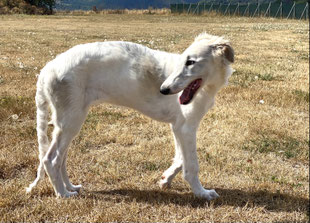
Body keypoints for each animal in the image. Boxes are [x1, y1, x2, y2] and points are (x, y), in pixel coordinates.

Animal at [26, 31, 234, 200]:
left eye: (191, 62)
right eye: (184, 60)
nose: (164, 90)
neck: (207, 87)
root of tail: (47, 69)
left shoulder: (178, 126)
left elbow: (180, 158)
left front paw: (166, 179)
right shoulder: (186, 127)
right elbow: (191, 164)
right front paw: (202, 193)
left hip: (70, 120)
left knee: (61, 158)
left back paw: (70, 187)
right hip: (71, 120)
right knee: (51, 159)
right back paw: (63, 193)